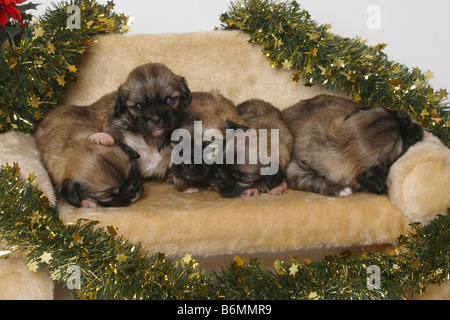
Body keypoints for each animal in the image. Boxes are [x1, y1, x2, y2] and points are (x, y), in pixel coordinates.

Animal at [284, 94, 424, 196]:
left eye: (389, 109)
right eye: (406, 143)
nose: (420, 128)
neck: (343, 144)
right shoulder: (294, 169)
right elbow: (308, 179)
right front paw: (340, 189)